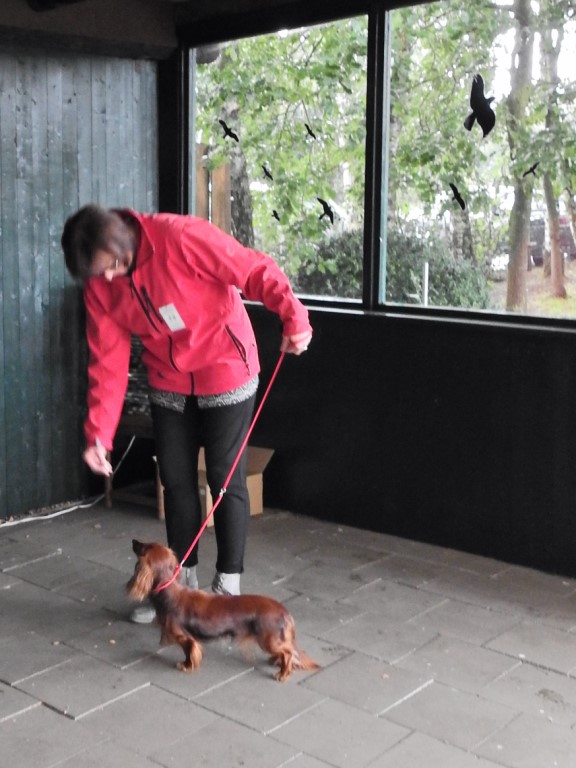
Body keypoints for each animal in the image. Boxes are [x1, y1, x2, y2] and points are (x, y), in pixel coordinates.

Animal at [127, 539, 320, 682]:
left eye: (143, 548)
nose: (134, 540)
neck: (170, 593)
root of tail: (284, 612)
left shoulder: (185, 637)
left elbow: (189, 651)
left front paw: (186, 665)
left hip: (268, 640)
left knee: (288, 652)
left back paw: (282, 673)